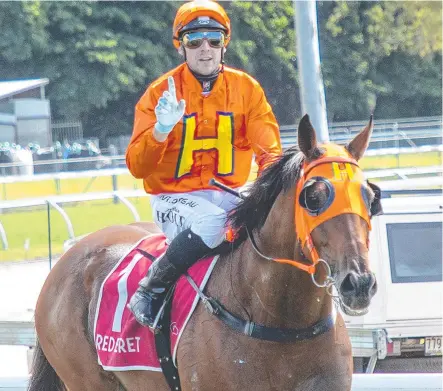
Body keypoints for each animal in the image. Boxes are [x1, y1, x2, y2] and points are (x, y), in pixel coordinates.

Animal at [29, 114, 380, 391]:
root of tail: (66, 259)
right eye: (315, 196)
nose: (359, 283)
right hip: (86, 379)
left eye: (368, 195)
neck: (281, 323)